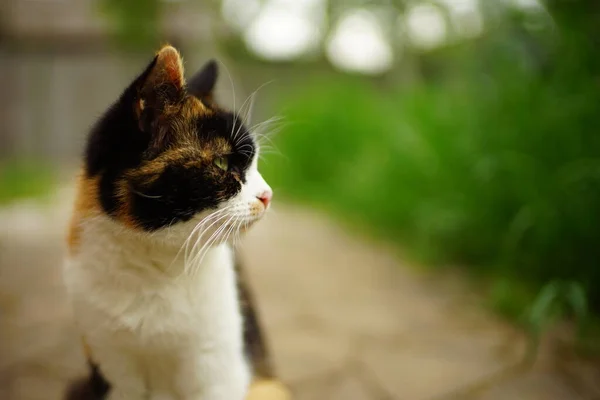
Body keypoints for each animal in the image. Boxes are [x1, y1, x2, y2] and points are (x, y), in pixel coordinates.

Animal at [62, 44, 292, 400]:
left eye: (254, 162)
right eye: (222, 162)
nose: (266, 195)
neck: (157, 268)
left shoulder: (217, 367)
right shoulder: (111, 365)